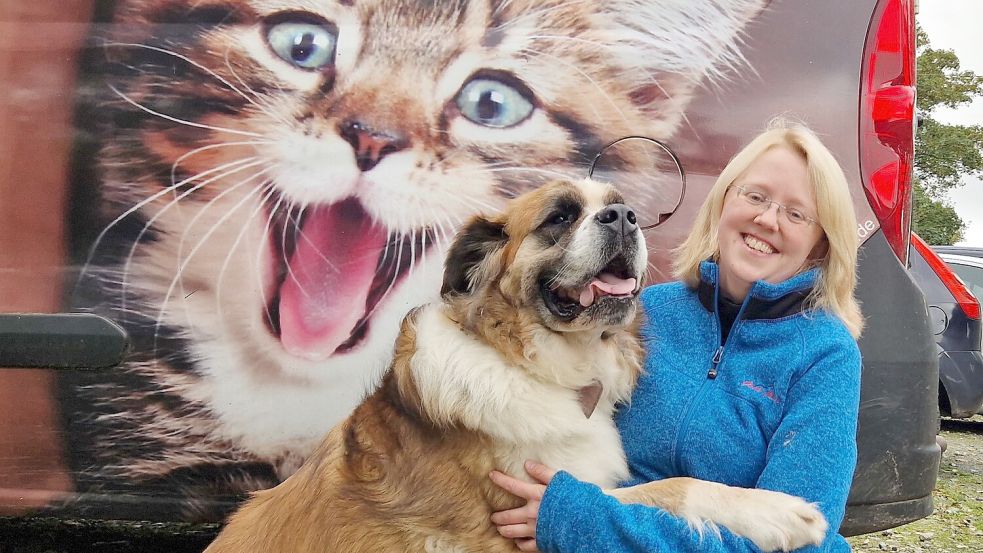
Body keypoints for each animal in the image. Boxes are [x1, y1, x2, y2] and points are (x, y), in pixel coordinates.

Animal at [206, 179, 832, 548]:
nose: (624, 216)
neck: (540, 367)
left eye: (622, 207)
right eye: (558, 218)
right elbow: (666, 489)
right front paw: (777, 511)